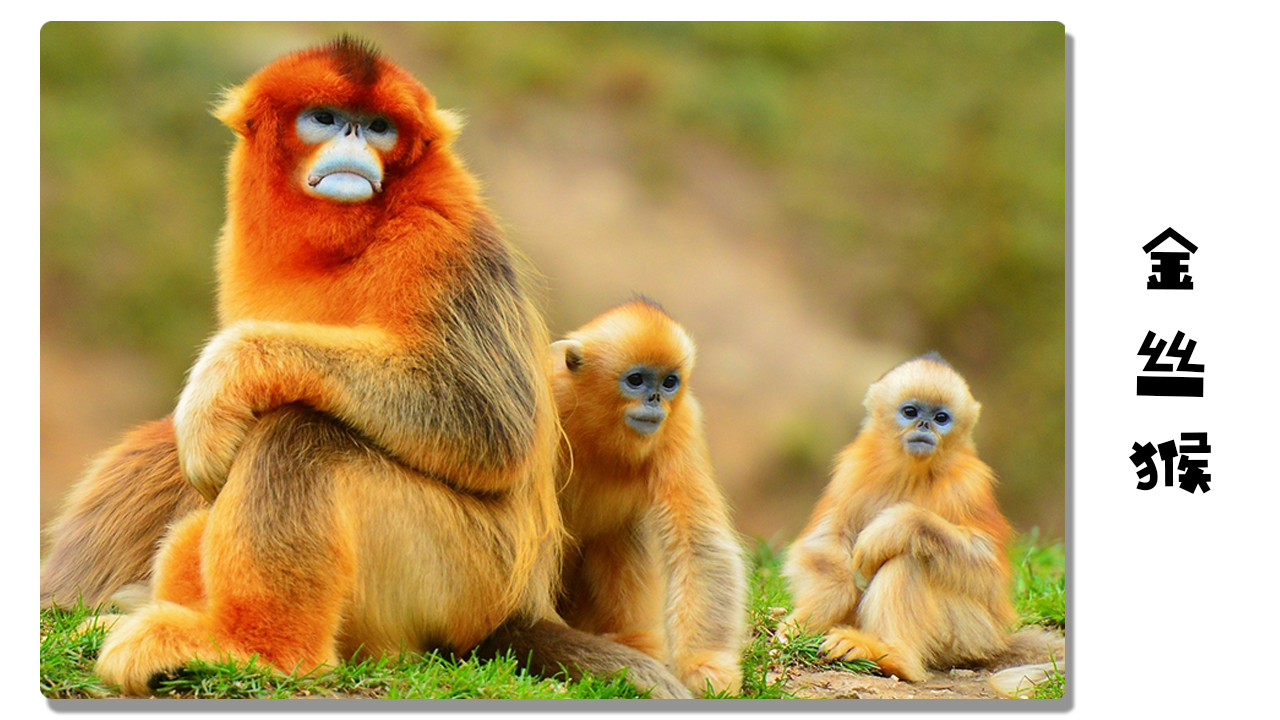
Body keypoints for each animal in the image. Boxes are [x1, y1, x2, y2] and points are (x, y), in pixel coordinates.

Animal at [40, 37, 691, 696]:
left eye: (379, 127)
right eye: (325, 117)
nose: (354, 137)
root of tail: (519, 606)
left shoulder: (438, 233)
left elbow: (491, 425)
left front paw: (227, 373)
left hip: (464, 572)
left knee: (297, 434)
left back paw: (253, 650)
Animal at [552, 299, 747, 691]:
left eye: (669, 382)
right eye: (637, 380)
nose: (655, 398)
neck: (597, 431)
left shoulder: (681, 424)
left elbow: (700, 546)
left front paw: (706, 666)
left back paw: (633, 641)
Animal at [783, 353, 1054, 676]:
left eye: (941, 418)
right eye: (910, 412)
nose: (924, 425)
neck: (912, 473)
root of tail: (998, 640)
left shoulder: (970, 484)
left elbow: (987, 567)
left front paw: (893, 526)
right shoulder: (851, 470)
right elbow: (825, 540)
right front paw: (811, 617)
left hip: (970, 631)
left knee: (910, 557)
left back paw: (888, 653)